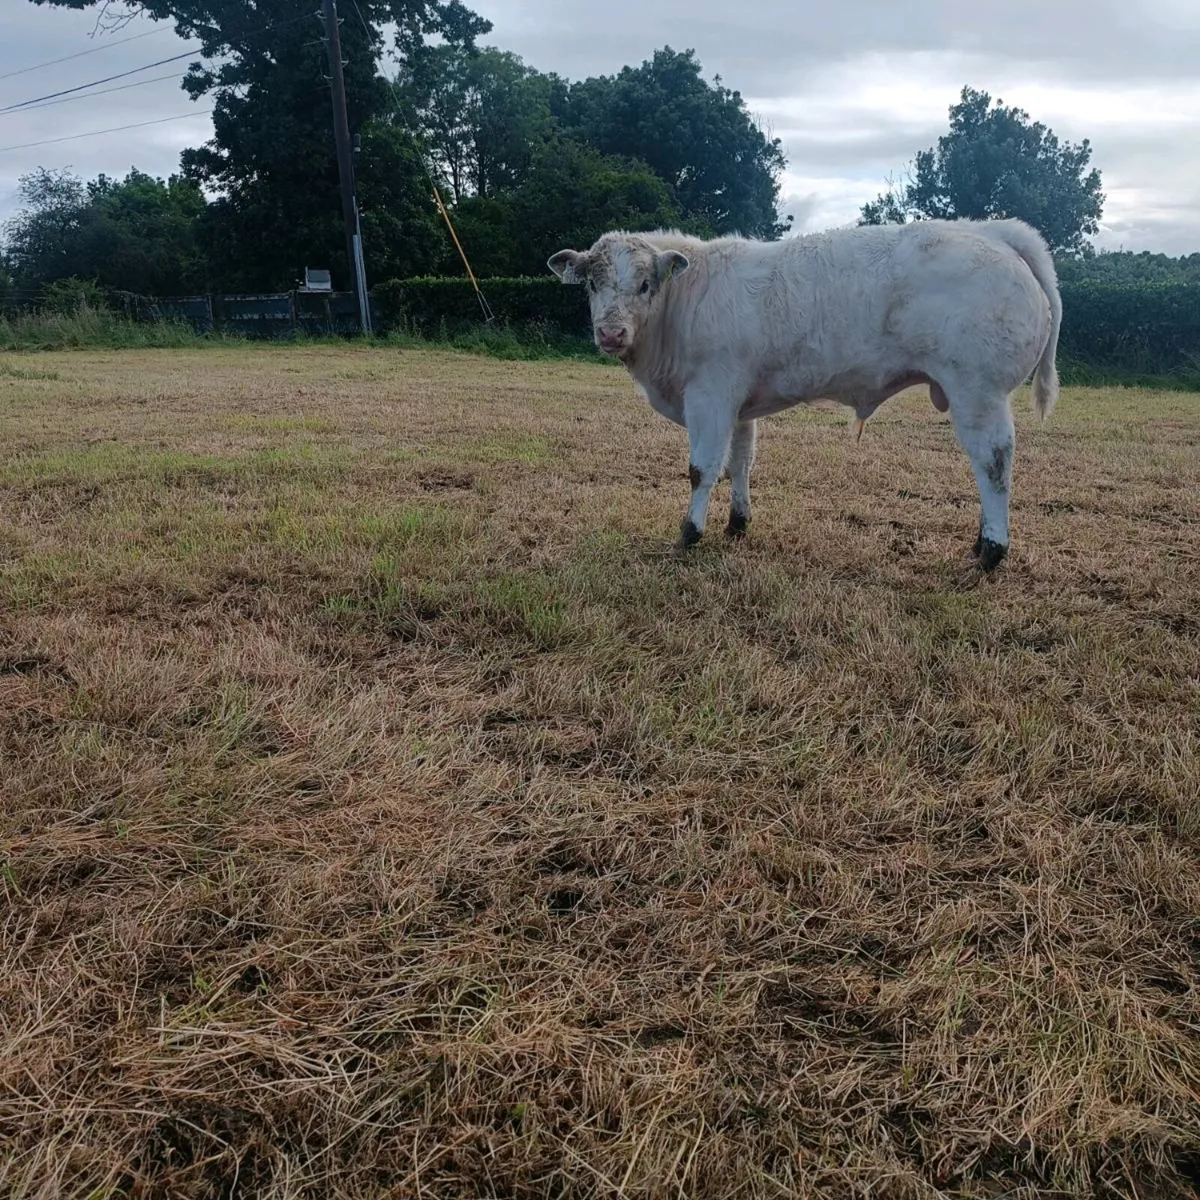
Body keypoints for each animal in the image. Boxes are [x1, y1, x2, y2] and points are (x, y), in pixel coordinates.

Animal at [547, 217, 1062, 571]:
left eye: (644, 284)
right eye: (592, 283)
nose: (611, 333)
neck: (687, 300)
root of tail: (994, 230)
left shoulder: (710, 396)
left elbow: (702, 469)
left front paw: (690, 533)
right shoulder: (740, 405)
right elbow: (741, 462)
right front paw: (737, 523)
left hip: (978, 391)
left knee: (993, 464)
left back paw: (991, 551)